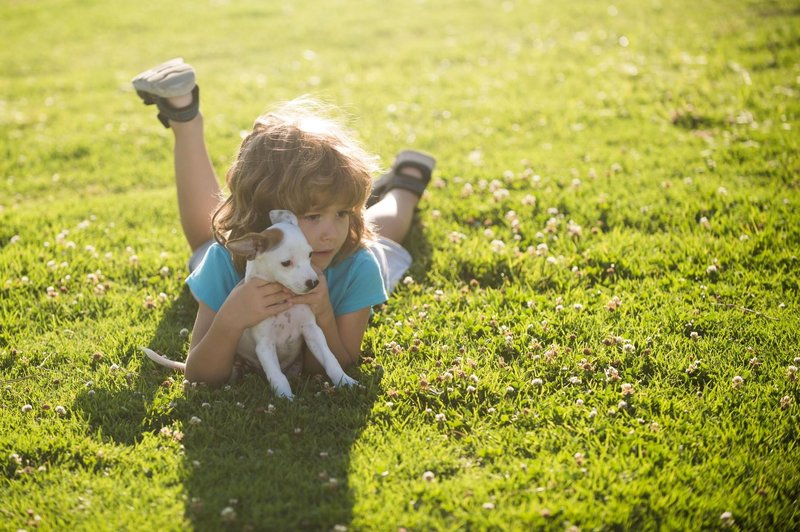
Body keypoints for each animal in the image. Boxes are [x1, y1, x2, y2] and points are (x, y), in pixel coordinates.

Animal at [142, 209, 358, 400]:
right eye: (286, 263)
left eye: (310, 255)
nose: (313, 283)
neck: (285, 303)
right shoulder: (265, 345)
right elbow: (277, 376)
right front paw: (286, 399)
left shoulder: (312, 330)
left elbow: (331, 359)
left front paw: (345, 380)